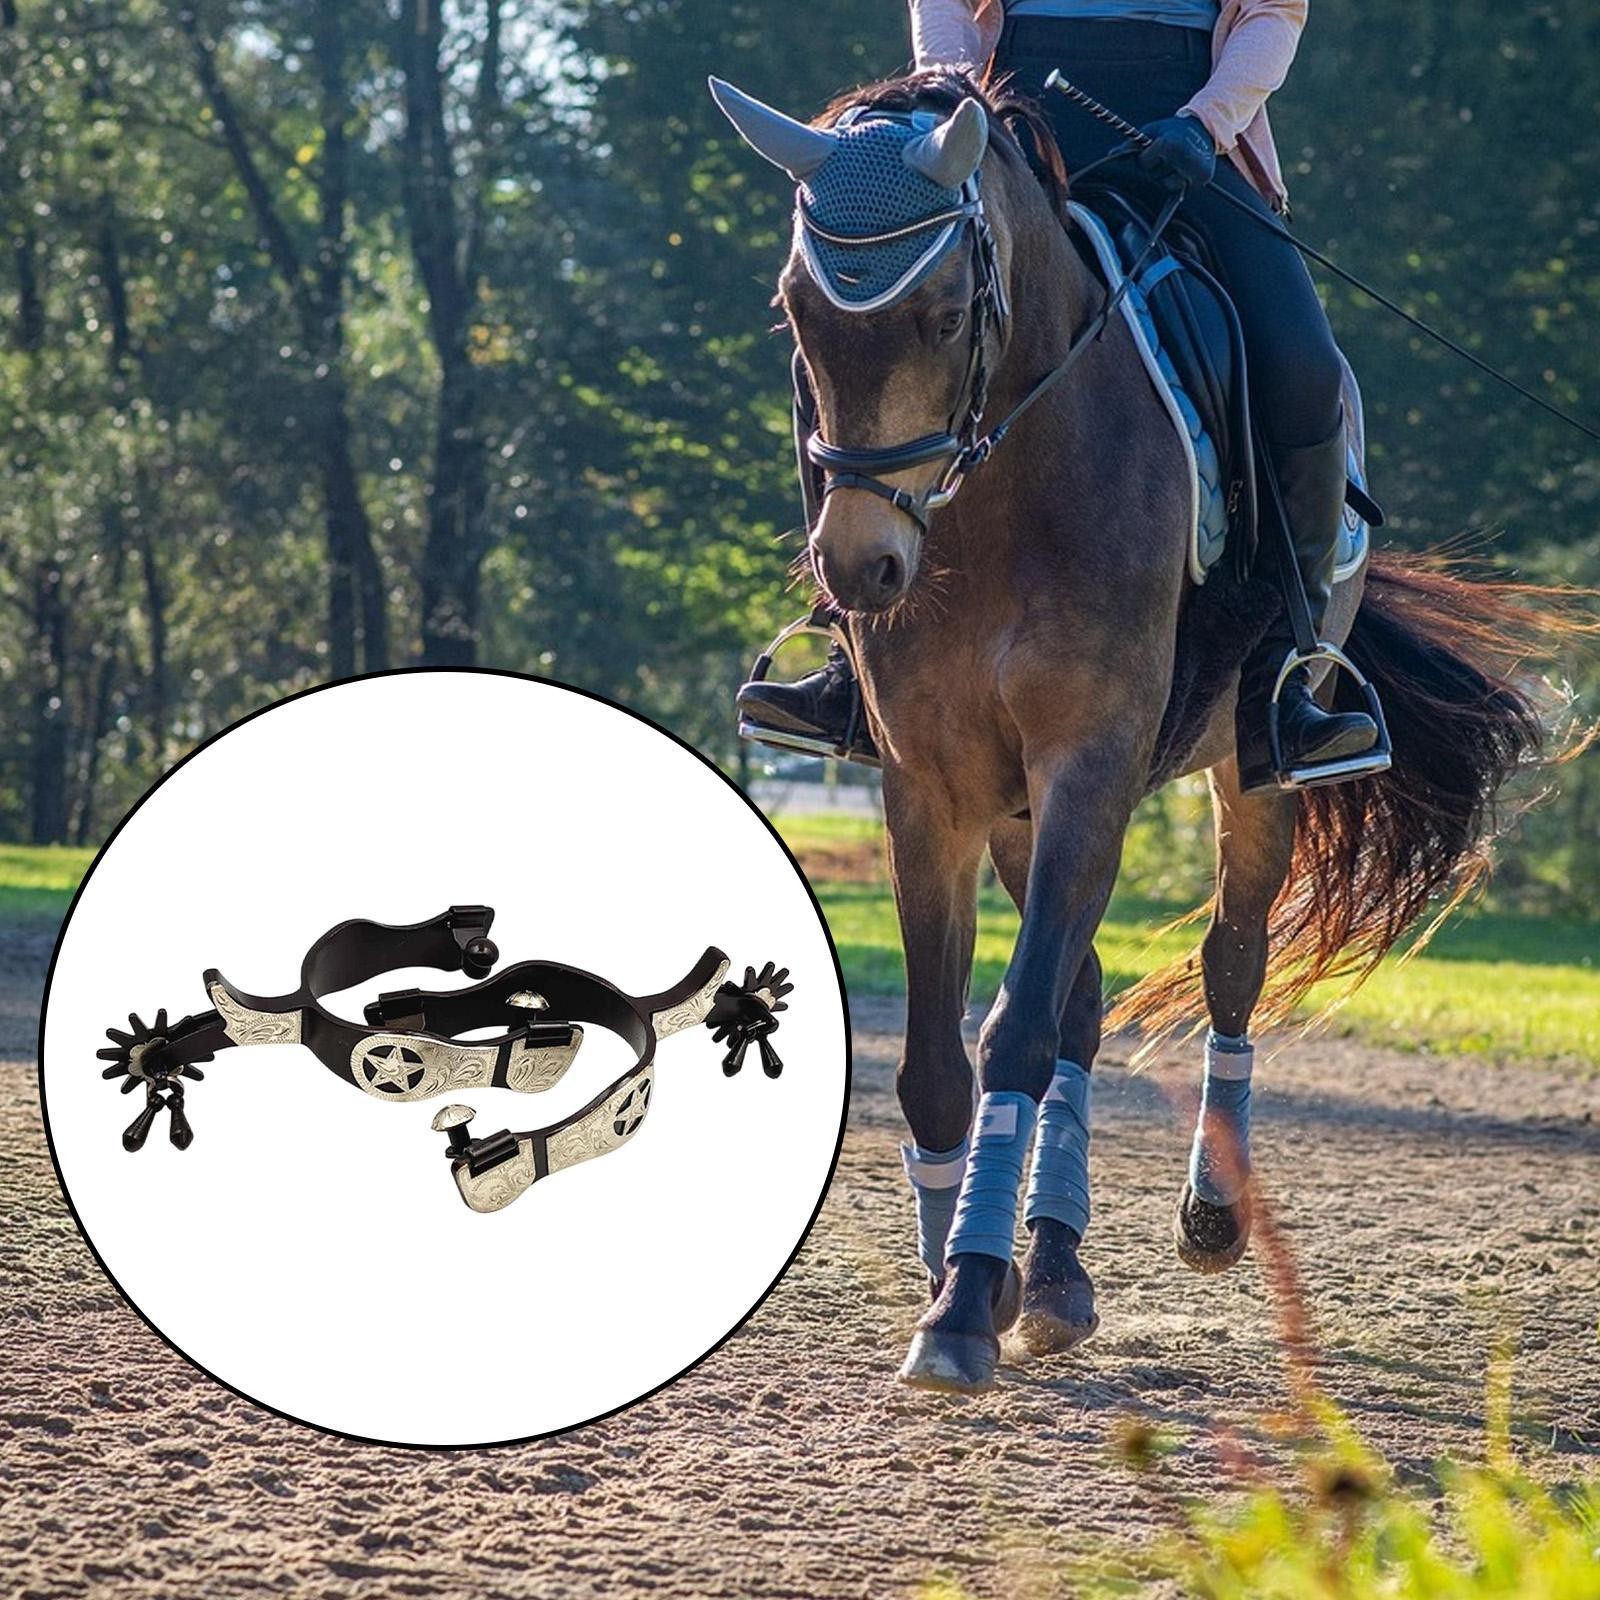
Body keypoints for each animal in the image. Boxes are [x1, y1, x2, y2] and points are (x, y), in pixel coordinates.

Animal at [711, 67, 1579, 1393]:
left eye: (949, 313)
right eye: (797, 311)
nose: (861, 569)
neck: (999, 501)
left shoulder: (1092, 764)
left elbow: (1014, 1031)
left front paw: (962, 1303)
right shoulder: (931, 789)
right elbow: (936, 1060)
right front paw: (961, 1278)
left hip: (1245, 771)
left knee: (1227, 964)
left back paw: (1203, 1215)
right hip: (1020, 809)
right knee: (1081, 993)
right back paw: (1051, 1271)